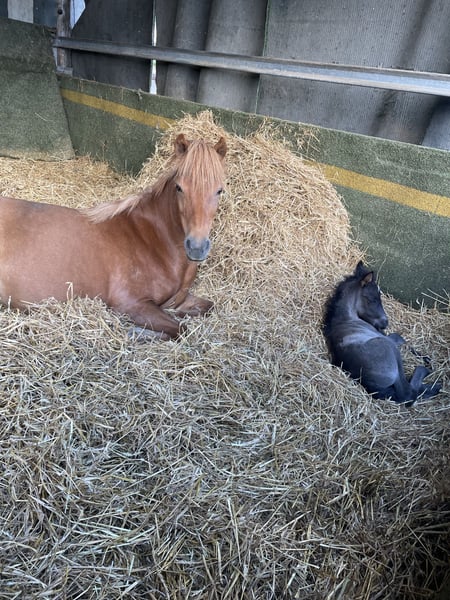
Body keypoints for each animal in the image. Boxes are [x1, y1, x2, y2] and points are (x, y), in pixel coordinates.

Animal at [0, 133, 227, 340]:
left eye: (219, 191)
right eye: (179, 188)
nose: (196, 247)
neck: (153, 239)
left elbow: (207, 307)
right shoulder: (130, 303)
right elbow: (181, 329)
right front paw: (137, 332)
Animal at [322, 261, 442, 405]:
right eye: (372, 299)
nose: (385, 322)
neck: (345, 318)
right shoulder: (385, 337)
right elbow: (399, 337)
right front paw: (425, 358)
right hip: (389, 349)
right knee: (408, 393)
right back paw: (430, 376)